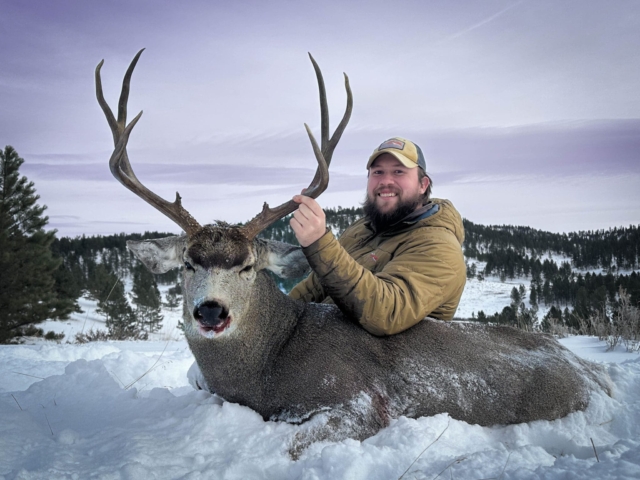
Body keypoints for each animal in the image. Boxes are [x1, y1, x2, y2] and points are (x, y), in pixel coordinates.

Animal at [96, 50, 612, 456]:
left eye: (247, 266)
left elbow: (294, 448)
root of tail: (593, 371)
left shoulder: (361, 401)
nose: (210, 311)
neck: (265, 370)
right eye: (188, 263)